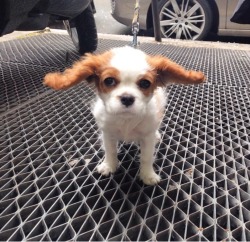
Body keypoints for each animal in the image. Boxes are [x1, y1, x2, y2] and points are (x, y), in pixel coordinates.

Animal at [43, 45, 205, 185]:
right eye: (109, 81)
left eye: (145, 83)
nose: (127, 98)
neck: (126, 119)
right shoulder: (107, 133)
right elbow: (110, 151)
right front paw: (109, 166)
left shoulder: (147, 137)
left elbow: (146, 157)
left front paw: (148, 175)